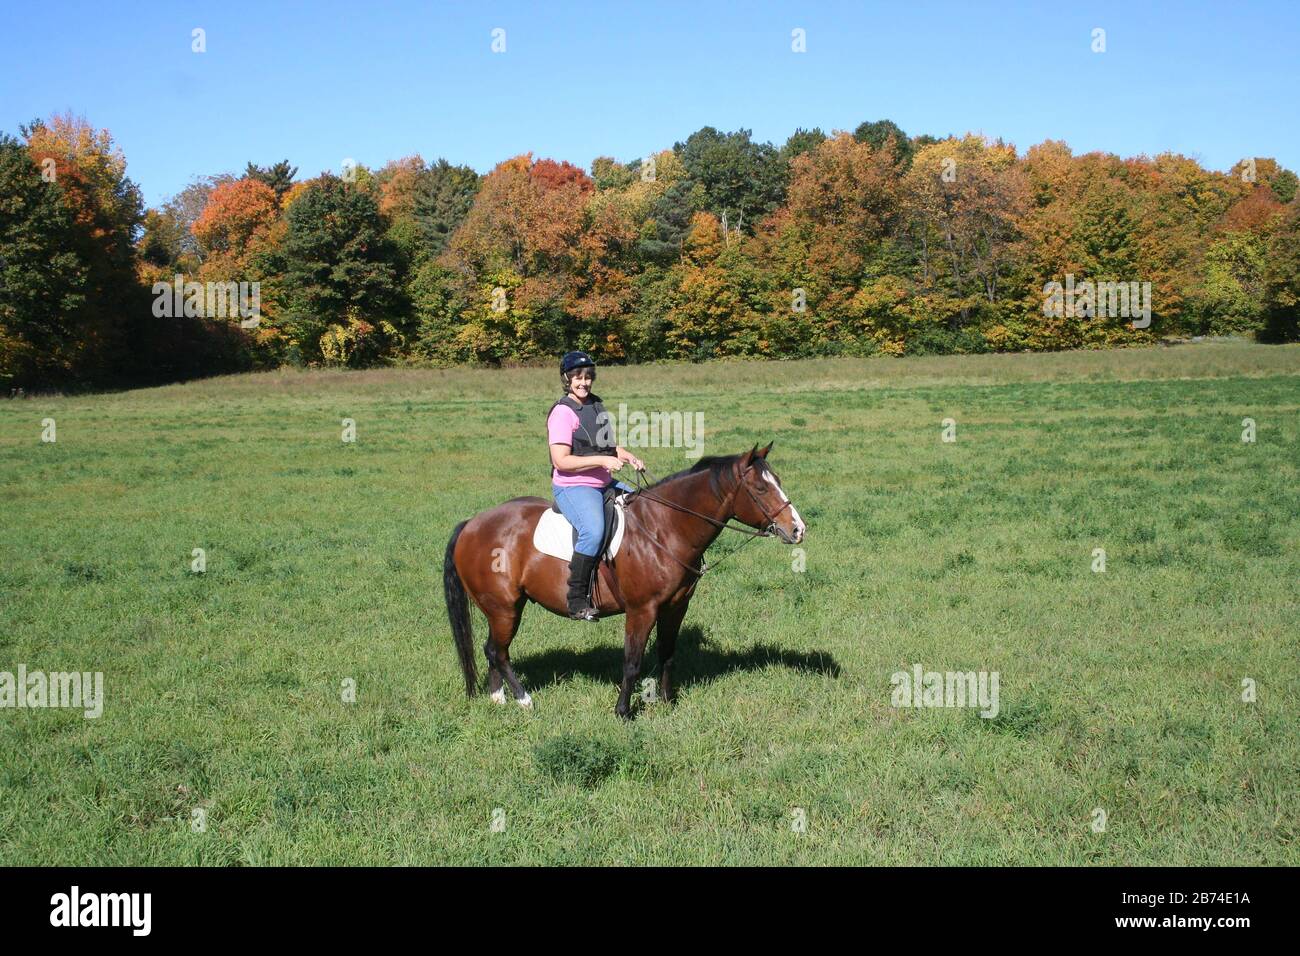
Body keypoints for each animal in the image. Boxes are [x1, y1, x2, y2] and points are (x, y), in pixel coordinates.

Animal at [444, 442, 800, 717]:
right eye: (760, 488)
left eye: (778, 481)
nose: (797, 529)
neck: (665, 527)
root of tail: (472, 524)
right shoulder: (642, 610)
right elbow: (632, 661)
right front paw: (623, 711)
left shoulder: (676, 607)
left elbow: (667, 654)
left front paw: (667, 703)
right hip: (504, 608)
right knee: (498, 651)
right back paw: (524, 700)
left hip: (501, 609)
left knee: (492, 649)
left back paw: (498, 698)